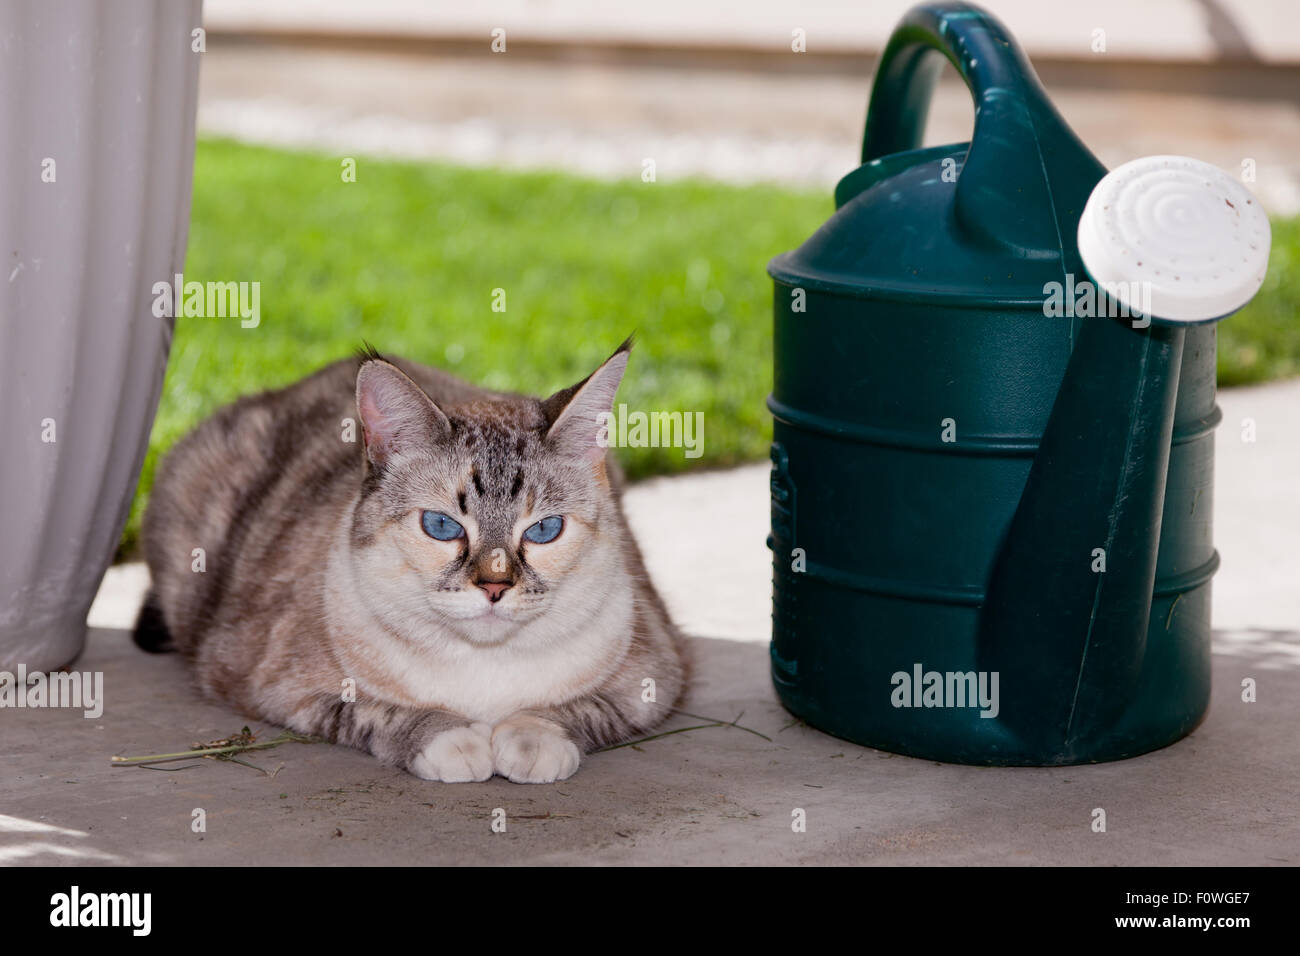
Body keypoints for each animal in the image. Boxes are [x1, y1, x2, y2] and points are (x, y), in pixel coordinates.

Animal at [134, 343, 691, 785]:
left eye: (543, 530)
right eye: (442, 526)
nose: (494, 587)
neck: (484, 671)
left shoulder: (655, 679)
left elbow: (578, 710)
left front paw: (531, 740)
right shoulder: (277, 689)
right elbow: (378, 714)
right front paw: (453, 742)